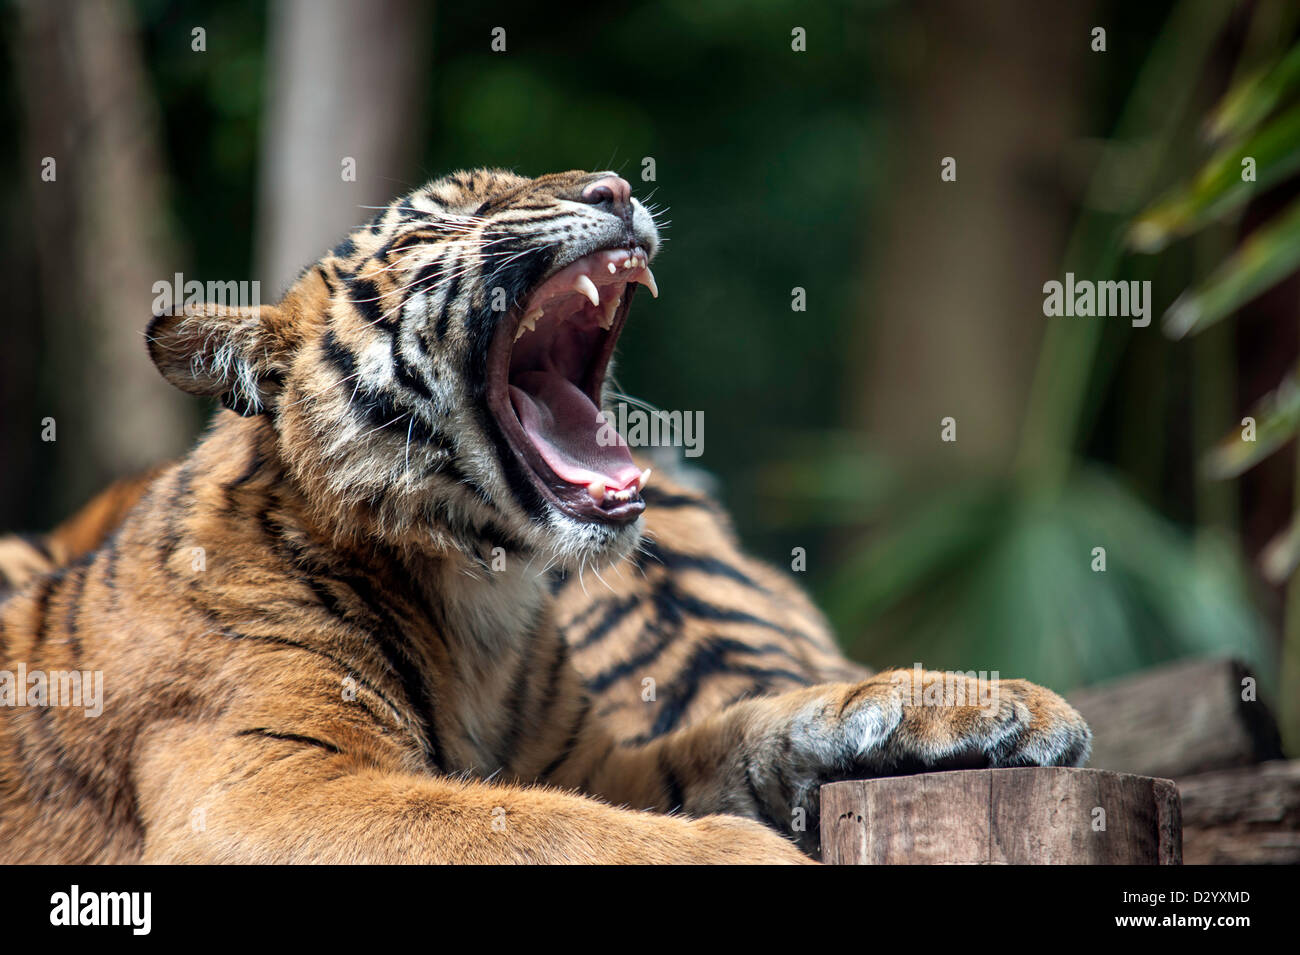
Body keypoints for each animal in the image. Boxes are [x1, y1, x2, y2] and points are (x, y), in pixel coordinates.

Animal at [0, 168, 1090, 863]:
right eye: (432, 225)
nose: (614, 188)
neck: (477, 594)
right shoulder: (267, 788)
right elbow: (534, 826)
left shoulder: (598, 758)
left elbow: (750, 723)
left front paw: (977, 702)